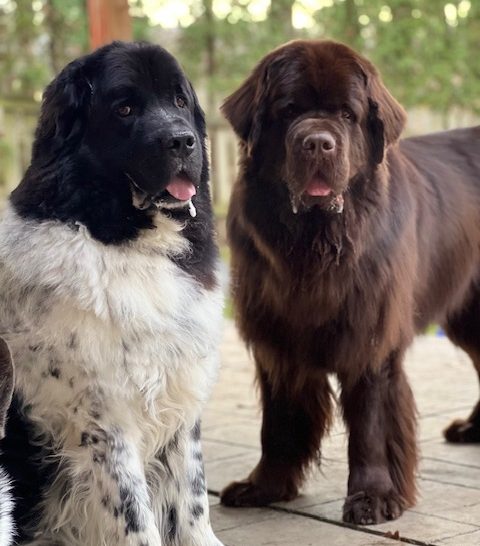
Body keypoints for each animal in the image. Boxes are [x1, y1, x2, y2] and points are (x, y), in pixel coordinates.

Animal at [0, 40, 224, 540]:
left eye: (179, 101)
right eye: (124, 109)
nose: (183, 141)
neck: (127, 242)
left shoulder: (181, 403)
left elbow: (193, 499)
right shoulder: (104, 420)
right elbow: (135, 516)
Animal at [219, 39, 480, 524]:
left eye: (346, 113)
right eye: (288, 110)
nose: (318, 143)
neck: (315, 243)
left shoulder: (370, 336)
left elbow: (371, 424)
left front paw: (374, 496)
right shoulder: (276, 338)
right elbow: (276, 421)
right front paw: (264, 486)